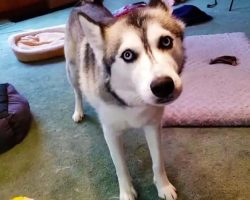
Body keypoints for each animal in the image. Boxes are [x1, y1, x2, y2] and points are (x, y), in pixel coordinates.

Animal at [65, 0, 185, 199]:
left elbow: (158, 160)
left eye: (166, 41)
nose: (163, 86)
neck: (133, 100)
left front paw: (163, 186)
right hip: (73, 71)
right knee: (77, 92)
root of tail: (85, 4)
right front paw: (127, 192)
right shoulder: (111, 133)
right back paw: (78, 111)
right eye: (127, 55)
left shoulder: (153, 125)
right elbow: (120, 167)